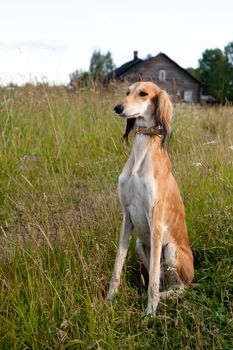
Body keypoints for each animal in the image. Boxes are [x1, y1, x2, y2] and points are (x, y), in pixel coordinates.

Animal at [106, 81, 194, 314]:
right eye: (127, 92)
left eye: (143, 93)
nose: (118, 108)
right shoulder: (127, 217)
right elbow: (117, 265)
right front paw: (109, 300)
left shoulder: (155, 221)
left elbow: (152, 279)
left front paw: (150, 313)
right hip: (139, 243)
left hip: (171, 250)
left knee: (181, 287)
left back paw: (163, 298)